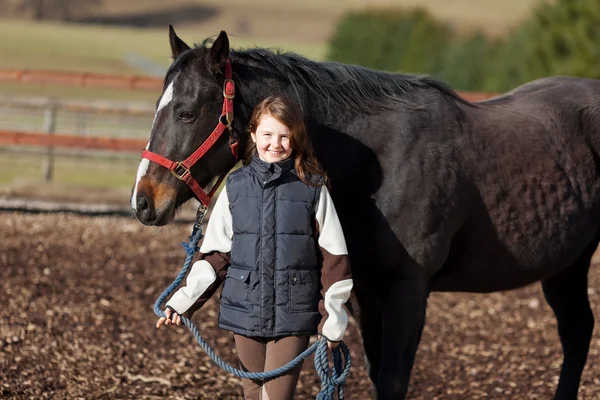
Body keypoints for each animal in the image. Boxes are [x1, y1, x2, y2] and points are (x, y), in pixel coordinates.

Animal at [131, 26, 600, 398]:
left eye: (187, 112)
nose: (143, 200)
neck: (379, 162)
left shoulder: (408, 290)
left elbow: (392, 380)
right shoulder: (365, 293)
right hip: (567, 266)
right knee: (577, 332)